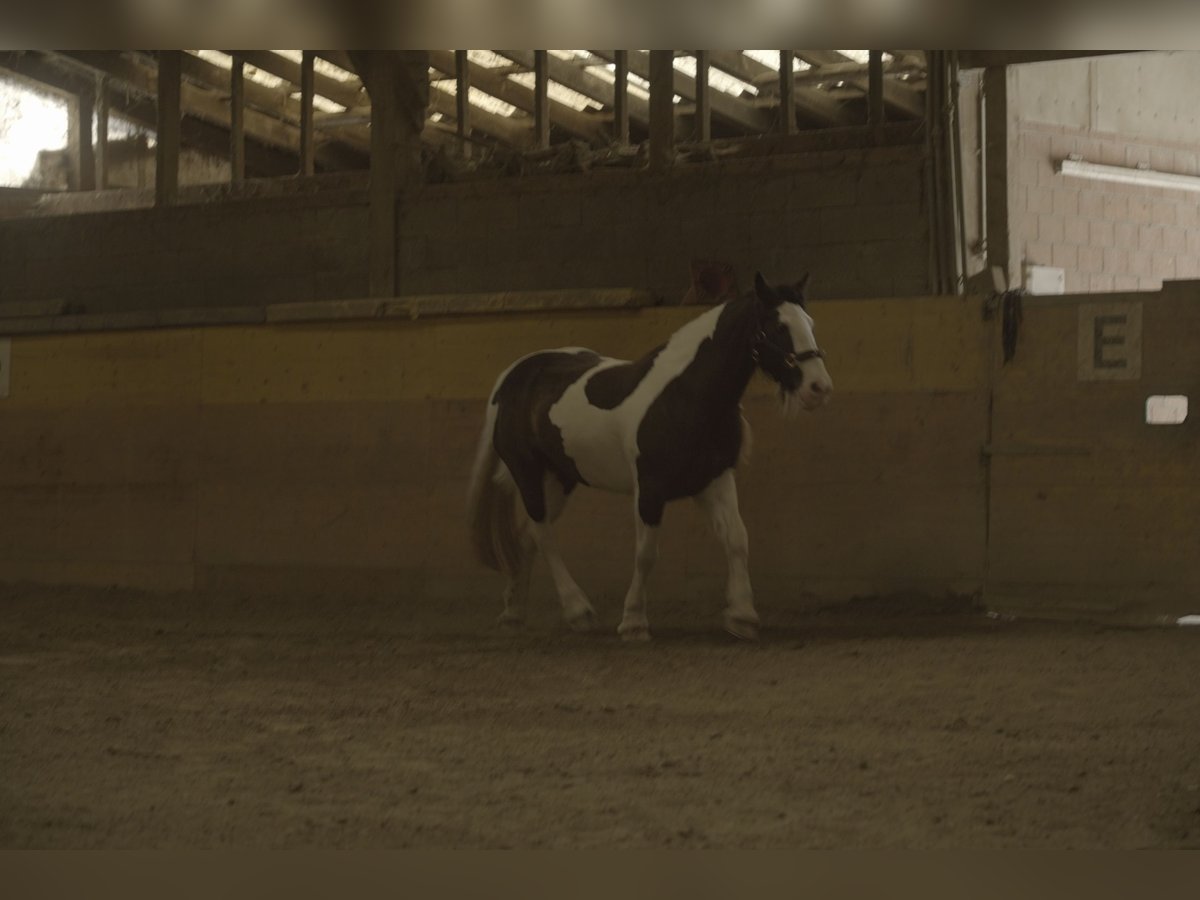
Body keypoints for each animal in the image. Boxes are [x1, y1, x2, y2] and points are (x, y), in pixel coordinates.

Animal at [468, 274, 835, 643]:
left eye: (810, 323)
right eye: (777, 327)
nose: (818, 388)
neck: (686, 396)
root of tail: (511, 377)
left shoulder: (715, 479)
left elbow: (736, 539)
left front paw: (742, 616)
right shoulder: (650, 490)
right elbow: (645, 555)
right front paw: (633, 622)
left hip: (560, 479)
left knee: (527, 537)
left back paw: (513, 614)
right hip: (528, 473)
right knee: (543, 535)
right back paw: (577, 610)